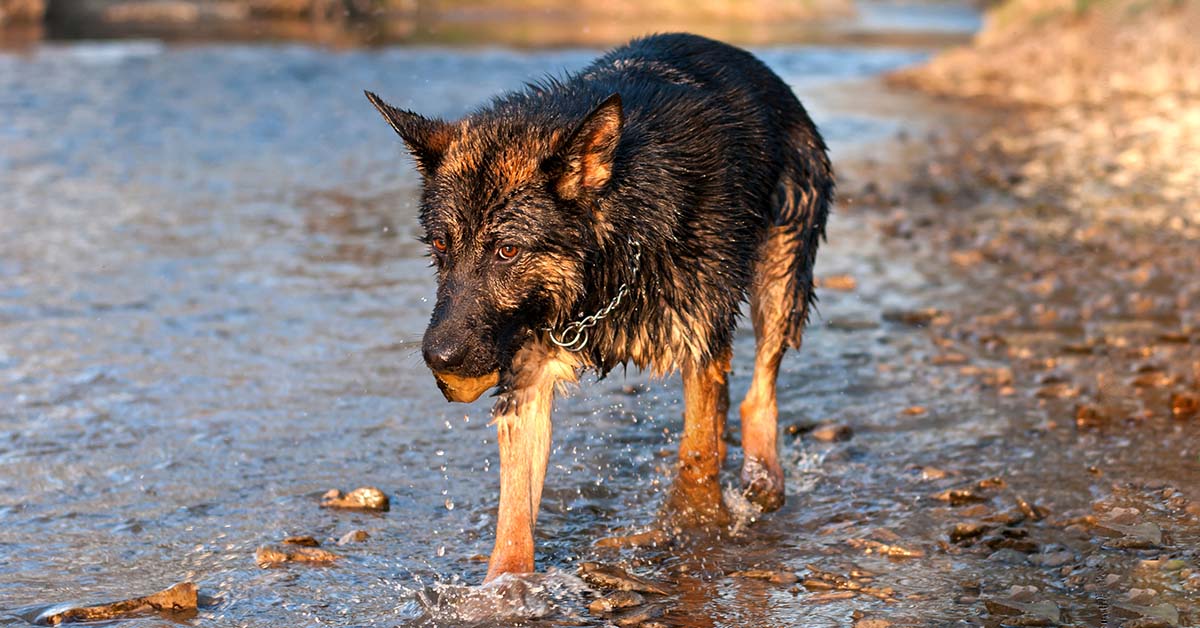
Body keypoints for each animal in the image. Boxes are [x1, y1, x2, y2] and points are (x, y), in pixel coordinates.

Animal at [364, 33, 835, 585]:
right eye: (440, 244)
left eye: (506, 251)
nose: (438, 358)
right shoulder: (527, 376)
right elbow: (514, 520)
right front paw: (503, 589)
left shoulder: (698, 339)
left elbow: (696, 454)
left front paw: (694, 528)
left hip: (780, 278)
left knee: (758, 387)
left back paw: (763, 478)